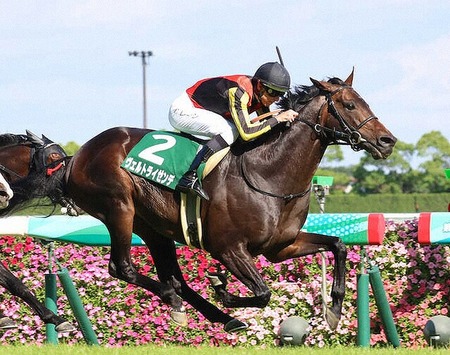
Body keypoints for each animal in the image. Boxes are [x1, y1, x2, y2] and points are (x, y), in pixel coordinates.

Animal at [7, 71, 398, 334]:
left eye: (365, 101)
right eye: (349, 104)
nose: (387, 140)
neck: (269, 173)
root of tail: (75, 157)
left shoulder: (280, 246)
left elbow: (339, 245)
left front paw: (334, 311)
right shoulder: (227, 248)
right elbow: (262, 293)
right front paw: (223, 288)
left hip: (152, 226)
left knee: (175, 278)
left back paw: (204, 311)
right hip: (119, 209)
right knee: (124, 268)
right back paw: (193, 304)